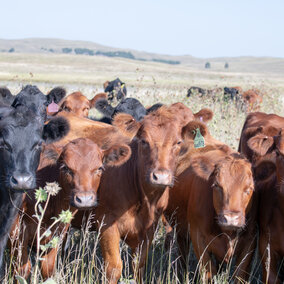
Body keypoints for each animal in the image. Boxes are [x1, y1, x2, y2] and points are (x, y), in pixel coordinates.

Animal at [11, 138, 130, 280]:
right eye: (65, 168)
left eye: (99, 168)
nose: (85, 199)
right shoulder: (16, 235)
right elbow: (22, 271)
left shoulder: (55, 236)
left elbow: (48, 270)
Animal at [164, 137, 255, 282]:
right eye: (216, 185)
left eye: (249, 188)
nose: (231, 219)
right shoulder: (197, 237)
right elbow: (209, 271)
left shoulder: (250, 241)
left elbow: (240, 274)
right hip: (180, 228)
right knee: (183, 250)